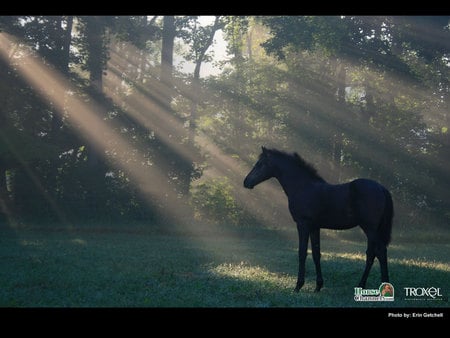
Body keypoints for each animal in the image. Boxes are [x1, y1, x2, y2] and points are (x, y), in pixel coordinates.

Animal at [243, 147, 394, 292]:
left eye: (260, 164)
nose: (246, 182)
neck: (303, 187)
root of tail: (381, 188)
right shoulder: (314, 227)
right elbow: (316, 254)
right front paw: (318, 286)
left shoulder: (303, 224)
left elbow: (302, 252)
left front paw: (298, 286)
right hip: (372, 230)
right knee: (373, 254)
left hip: (370, 229)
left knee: (378, 252)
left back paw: (377, 284)